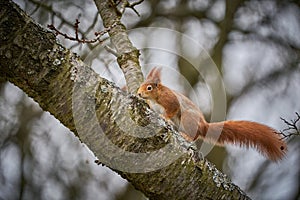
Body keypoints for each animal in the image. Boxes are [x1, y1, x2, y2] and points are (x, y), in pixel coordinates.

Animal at [137, 67, 288, 161]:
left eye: (149, 88)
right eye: (140, 85)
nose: (138, 93)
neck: (156, 98)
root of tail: (203, 125)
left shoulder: (171, 101)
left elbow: (172, 109)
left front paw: (165, 117)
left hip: (188, 119)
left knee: (195, 134)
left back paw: (187, 136)